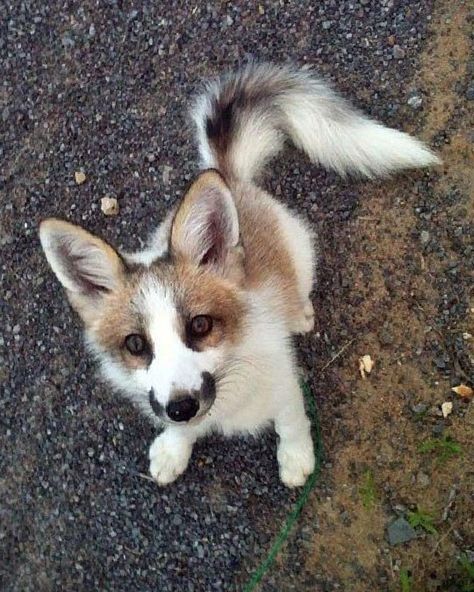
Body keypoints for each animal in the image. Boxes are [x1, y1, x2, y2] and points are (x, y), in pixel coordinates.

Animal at [39, 62, 438, 488]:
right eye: (135, 344)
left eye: (200, 325)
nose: (182, 407)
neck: (231, 372)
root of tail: (228, 177)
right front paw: (174, 447)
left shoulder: (284, 381)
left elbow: (292, 422)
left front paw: (296, 457)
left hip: (300, 249)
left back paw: (301, 313)